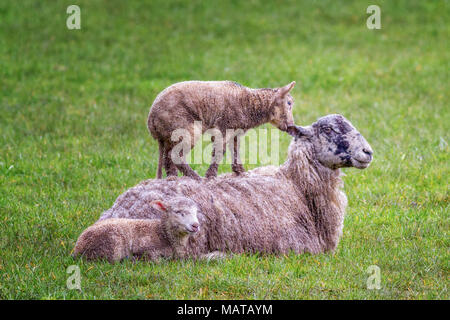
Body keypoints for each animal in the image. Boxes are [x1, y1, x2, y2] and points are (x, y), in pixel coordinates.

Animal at [146, 80, 298, 180]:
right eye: (289, 103)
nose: (291, 126)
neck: (249, 105)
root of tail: (151, 120)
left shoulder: (235, 130)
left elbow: (235, 149)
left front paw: (240, 172)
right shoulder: (223, 127)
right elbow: (220, 151)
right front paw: (211, 176)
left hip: (169, 135)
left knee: (167, 158)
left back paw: (172, 177)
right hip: (184, 128)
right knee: (175, 155)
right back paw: (196, 178)